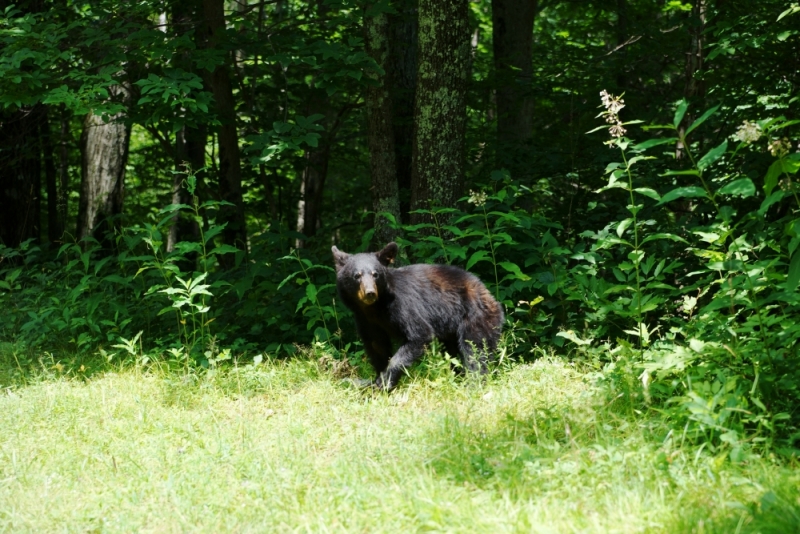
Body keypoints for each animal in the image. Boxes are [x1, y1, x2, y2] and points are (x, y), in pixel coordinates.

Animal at [330, 243, 504, 390]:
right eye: (357, 275)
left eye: (375, 274)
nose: (370, 293)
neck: (375, 308)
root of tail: (489, 295)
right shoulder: (365, 319)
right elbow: (376, 345)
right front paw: (376, 380)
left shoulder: (402, 305)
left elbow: (419, 334)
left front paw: (385, 382)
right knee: (454, 353)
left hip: (475, 317)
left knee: (475, 350)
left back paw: (474, 384)